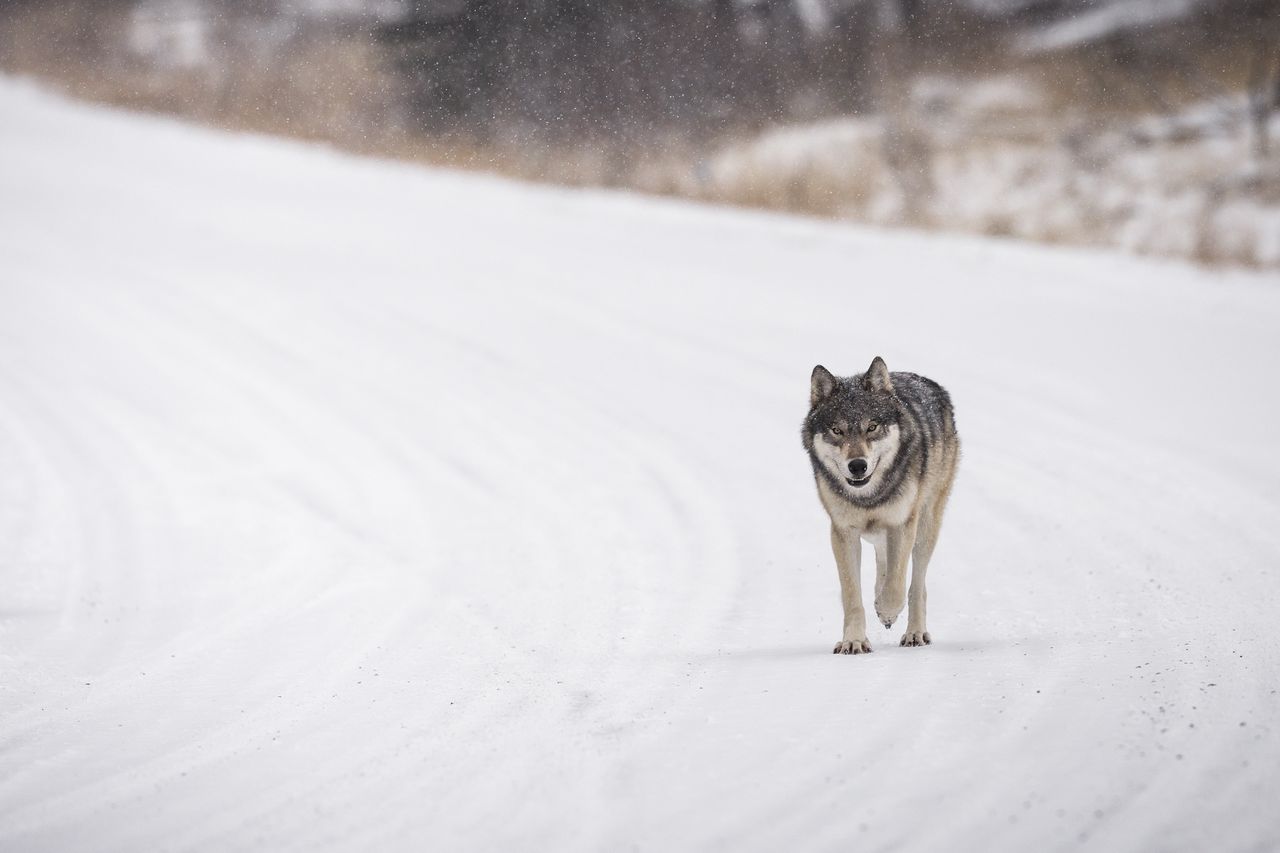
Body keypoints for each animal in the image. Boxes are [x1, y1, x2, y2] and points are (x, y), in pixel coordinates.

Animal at [798, 356, 962, 653]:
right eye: (837, 430)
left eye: (872, 427)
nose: (857, 465)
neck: (869, 497)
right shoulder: (843, 533)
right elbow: (852, 594)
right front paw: (853, 640)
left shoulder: (902, 523)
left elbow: (897, 585)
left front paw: (887, 611)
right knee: (884, 562)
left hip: (925, 527)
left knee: (916, 583)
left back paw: (914, 633)